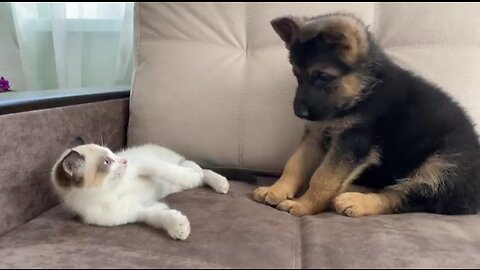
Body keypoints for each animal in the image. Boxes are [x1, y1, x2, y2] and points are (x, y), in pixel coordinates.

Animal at [50, 141, 229, 240]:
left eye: (112, 153)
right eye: (107, 161)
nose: (124, 161)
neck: (111, 190)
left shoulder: (143, 165)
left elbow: (164, 169)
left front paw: (188, 176)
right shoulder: (137, 211)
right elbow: (158, 215)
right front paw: (178, 226)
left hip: (177, 163)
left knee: (196, 169)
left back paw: (217, 181)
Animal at [253, 13, 478, 217]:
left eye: (323, 77)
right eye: (297, 75)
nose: (299, 113)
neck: (362, 91)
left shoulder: (353, 139)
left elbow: (323, 177)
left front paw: (304, 205)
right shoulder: (315, 136)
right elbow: (294, 165)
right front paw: (276, 189)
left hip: (441, 167)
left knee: (405, 196)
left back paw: (356, 201)